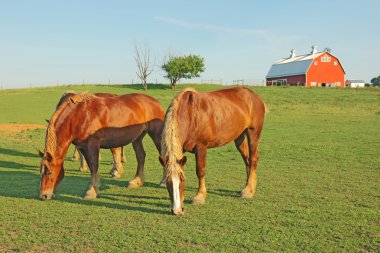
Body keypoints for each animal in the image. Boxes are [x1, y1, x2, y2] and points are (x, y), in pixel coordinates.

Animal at [36, 92, 165, 200]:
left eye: (48, 172)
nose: (43, 195)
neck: (78, 115)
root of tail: (155, 101)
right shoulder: (82, 146)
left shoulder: (92, 145)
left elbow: (94, 167)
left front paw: (91, 191)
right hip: (137, 138)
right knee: (141, 156)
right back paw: (137, 181)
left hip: (157, 135)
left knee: (163, 157)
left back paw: (163, 181)